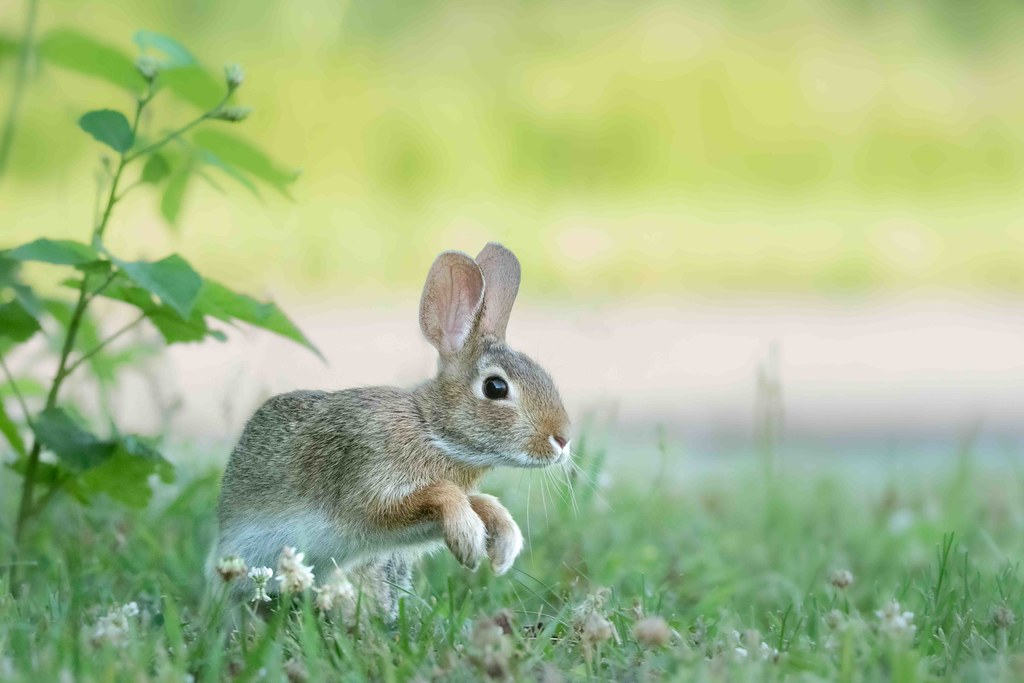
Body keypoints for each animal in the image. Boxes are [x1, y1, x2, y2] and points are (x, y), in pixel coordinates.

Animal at [214, 243, 572, 615]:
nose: (563, 440)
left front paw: (503, 544)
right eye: (496, 388)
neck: (430, 428)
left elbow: (476, 500)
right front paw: (469, 540)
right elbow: (439, 493)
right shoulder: (369, 488)